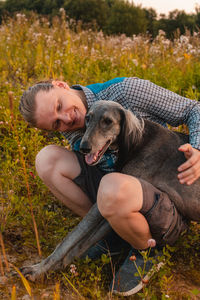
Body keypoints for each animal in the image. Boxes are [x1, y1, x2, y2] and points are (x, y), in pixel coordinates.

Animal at [21, 99, 199, 280]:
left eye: (108, 121)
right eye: (87, 118)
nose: (84, 147)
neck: (138, 141)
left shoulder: (100, 207)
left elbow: (69, 240)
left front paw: (38, 270)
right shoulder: (105, 214)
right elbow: (79, 244)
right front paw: (57, 267)